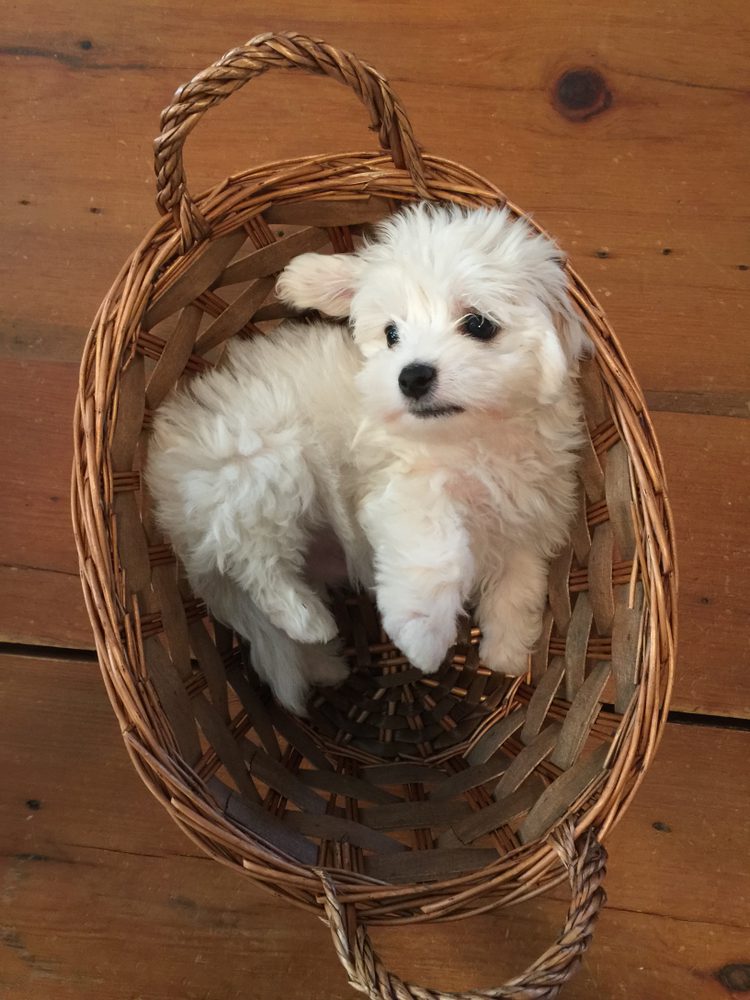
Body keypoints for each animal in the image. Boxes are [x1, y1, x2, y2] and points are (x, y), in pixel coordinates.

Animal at [147, 205, 592, 712]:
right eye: (392, 334)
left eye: (479, 324)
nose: (412, 376)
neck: (477, 436)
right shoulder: (405, 493)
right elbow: (434, 554)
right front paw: (422, 640)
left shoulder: (527, 523)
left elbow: (518, 587)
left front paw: (507, 651)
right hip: (259, 468)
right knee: (254, 561)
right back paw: (309, 619)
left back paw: (324, 662)